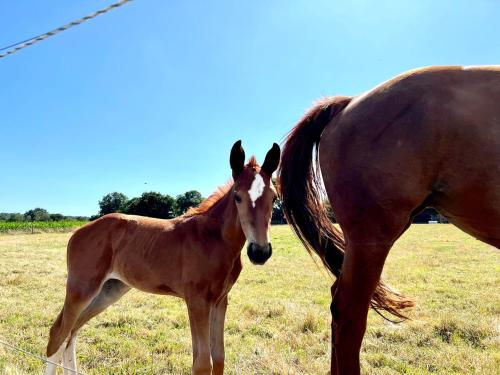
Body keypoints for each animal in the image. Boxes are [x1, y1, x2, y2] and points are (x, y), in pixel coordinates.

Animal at [45, 141, 282, 375]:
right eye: (237, 196)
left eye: (274, 198)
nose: (260, 252)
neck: (213, 239)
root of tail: (78, 231)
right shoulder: (197, 301)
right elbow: (202, 363)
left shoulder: (220, 301)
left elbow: (219, 358)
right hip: (81, 288)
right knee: (58, 332)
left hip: (109, 290)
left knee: (72, 331)